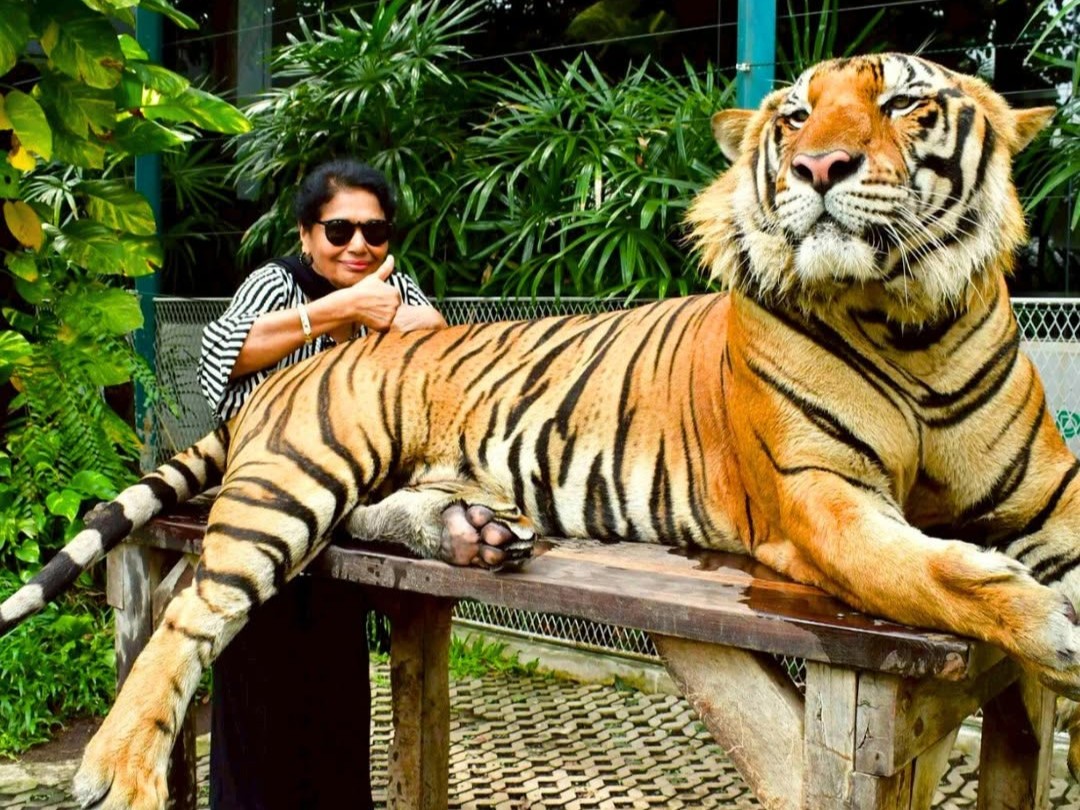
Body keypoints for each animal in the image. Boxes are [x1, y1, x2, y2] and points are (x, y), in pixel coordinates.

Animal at [1, 51, 1078, 808]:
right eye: (797, 115)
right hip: (301, 470)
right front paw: (1054, 629)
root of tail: (294, 373)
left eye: (903, 105)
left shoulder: (1047, 490)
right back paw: (117, 771)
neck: (911, 320)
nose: (818, 166)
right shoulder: (818, 497)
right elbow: (941, 572)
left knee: (370, 520)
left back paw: (472, 534)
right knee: (192, 612)